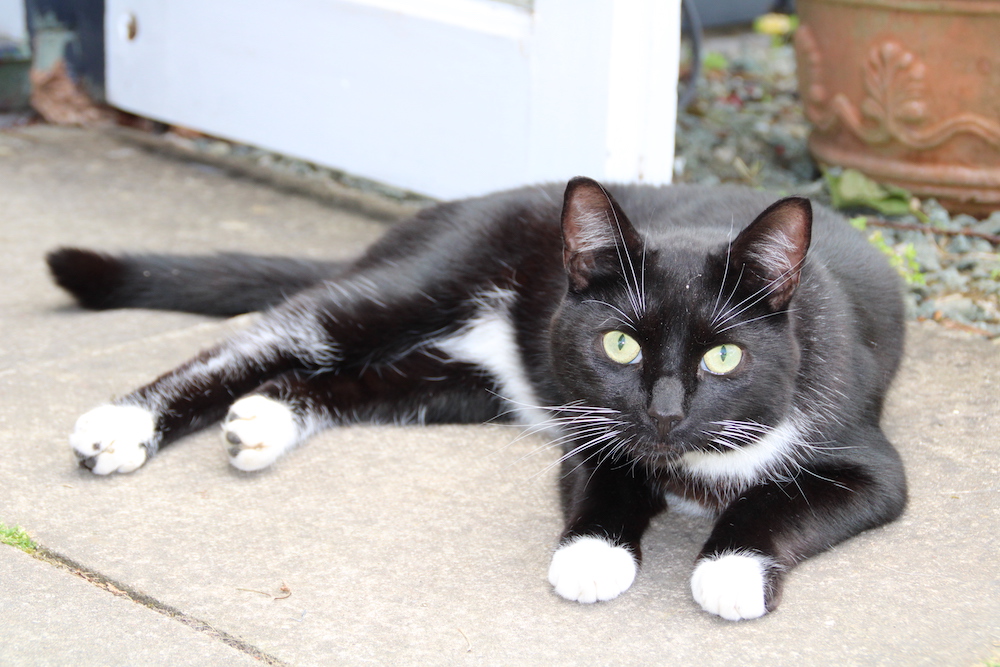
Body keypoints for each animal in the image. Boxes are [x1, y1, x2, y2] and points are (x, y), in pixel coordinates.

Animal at [47, 176, 908, 620]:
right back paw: (121, 423)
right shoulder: (590, 422)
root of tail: (455, 203)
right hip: (425, 277)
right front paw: (593, 554)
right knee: (275, 335)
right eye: (620, 345)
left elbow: (780, 500)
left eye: (725, 354)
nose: (665, 411)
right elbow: (606, 476)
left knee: (356, 377)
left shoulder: (865, 452)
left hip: (466, 379)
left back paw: (263, 418)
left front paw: (728, 568)